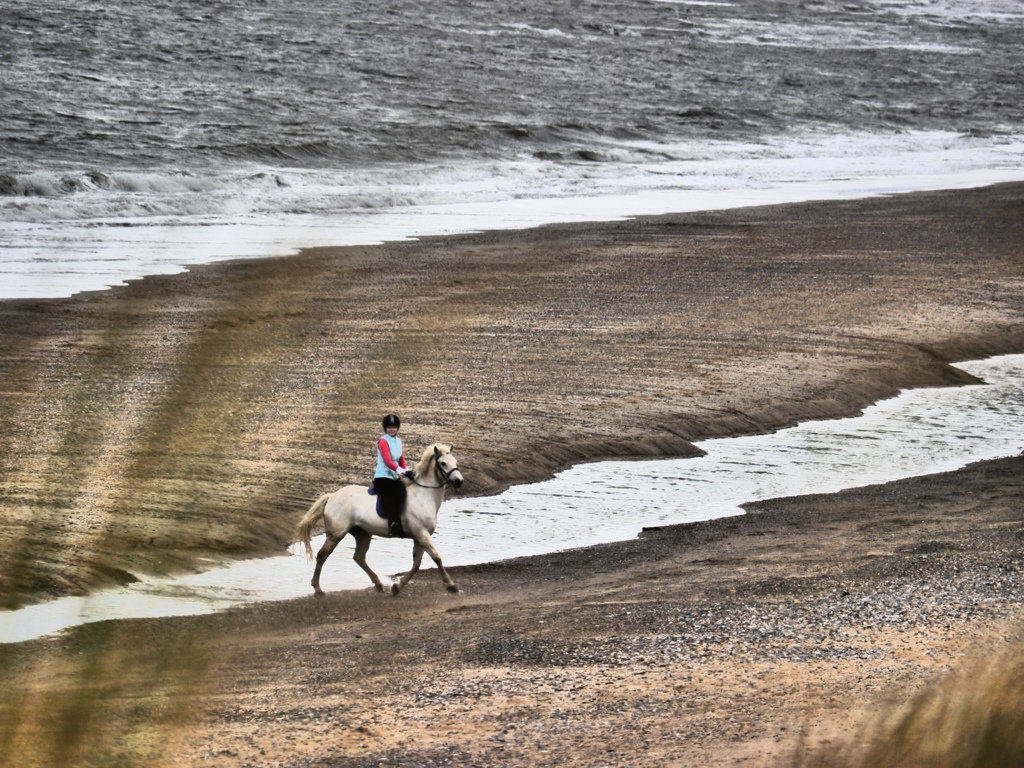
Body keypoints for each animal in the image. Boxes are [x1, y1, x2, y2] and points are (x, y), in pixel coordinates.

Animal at [294, 443, 464, 597]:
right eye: (443, 463)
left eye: (455, 461)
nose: (459, 481)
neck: (423, 495)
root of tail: (332, 496)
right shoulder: (421, 534)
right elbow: (436, 557)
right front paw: (451, 586)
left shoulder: (420, 536)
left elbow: (417, 564)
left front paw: (397, 587)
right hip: (336, 534)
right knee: (322, 555)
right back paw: (318, 589)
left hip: (362, 533)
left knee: (359, 557)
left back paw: (378, 583)